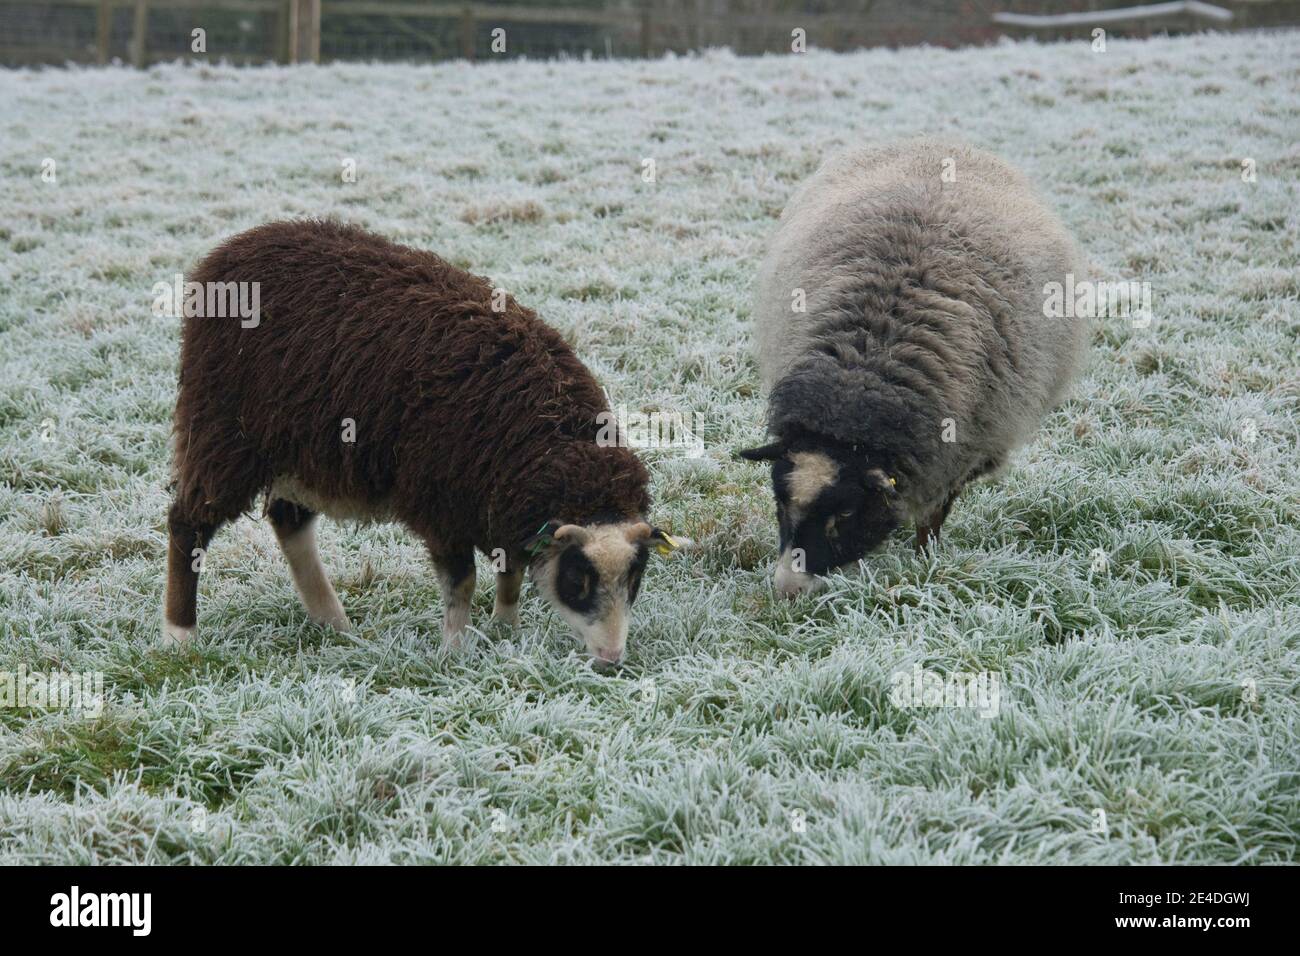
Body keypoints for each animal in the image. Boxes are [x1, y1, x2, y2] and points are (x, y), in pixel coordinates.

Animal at [162, 217, 681, 665]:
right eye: (578, 579)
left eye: (636, 578)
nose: (611, 660)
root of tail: (235, 248)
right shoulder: (443, 504)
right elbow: (463, 582)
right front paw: (455, 652)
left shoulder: (498, 500)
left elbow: (510, 570)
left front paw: (505, 629)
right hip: (222, 433)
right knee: (188, 523)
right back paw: (180, 635)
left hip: (299, 449)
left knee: (289, 521)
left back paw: (334, 623)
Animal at [743, 138, 1086, 595]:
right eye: (780, 501)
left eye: (847, 512)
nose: (788, 588)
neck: (863, 377)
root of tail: (940, 142)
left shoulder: (960, 453)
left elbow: (932, 517)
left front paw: (927, 559)